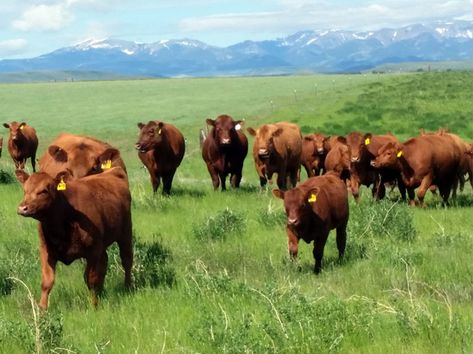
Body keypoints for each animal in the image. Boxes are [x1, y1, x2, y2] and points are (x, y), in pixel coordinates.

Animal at [15, 167, 132, 308]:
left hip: (125, 233)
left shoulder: (93, 251)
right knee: (104, 263)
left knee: (126, 260)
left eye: (44, 191)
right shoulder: (46, 250)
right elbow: (47, 281)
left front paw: (94, 306)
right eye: (25, 190)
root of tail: (113, 170)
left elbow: (91, 279)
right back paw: (102, 292)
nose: (22, 208)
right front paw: (42, 309)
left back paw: (127, 287)